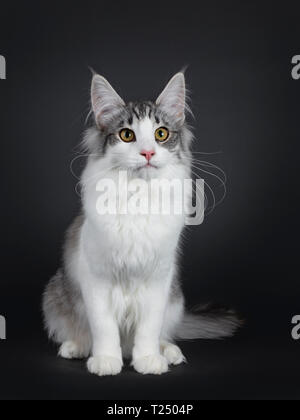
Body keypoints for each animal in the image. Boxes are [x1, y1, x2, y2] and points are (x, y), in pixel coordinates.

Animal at [42, 73, 239, 378]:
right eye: (127, 135)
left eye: (161, 134)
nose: (147, 153)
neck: (138, 196)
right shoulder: (96, 279)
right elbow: (104, 328)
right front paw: (106, 360)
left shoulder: (158, 279)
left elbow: (149, 329)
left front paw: (148, 360)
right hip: (55, 293)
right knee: (81, 332)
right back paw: (78, 348)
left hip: (175, 298)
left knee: (164, 334)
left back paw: (168, 352)